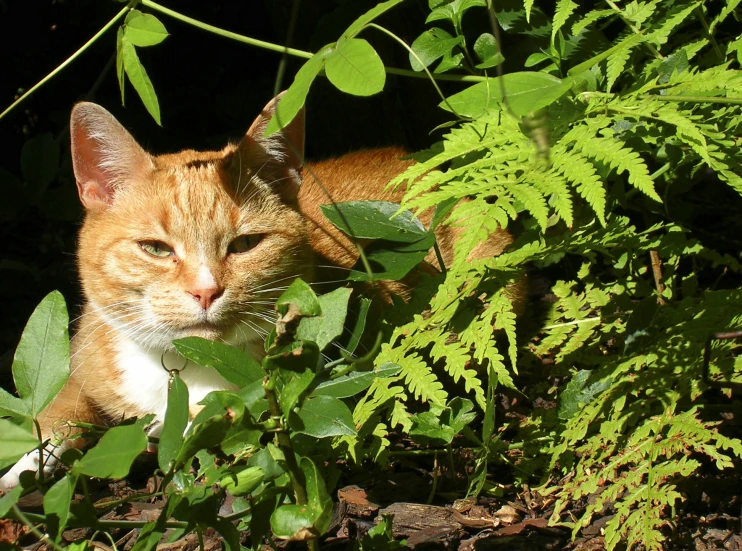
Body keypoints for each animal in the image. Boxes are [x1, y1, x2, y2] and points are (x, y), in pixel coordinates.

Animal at [0, 95, 520, 492]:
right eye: (156, 248)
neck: (180, 370)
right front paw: (22, 468)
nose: (205, 291)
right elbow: (53, 415)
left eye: (245, 244)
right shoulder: (83, 368)